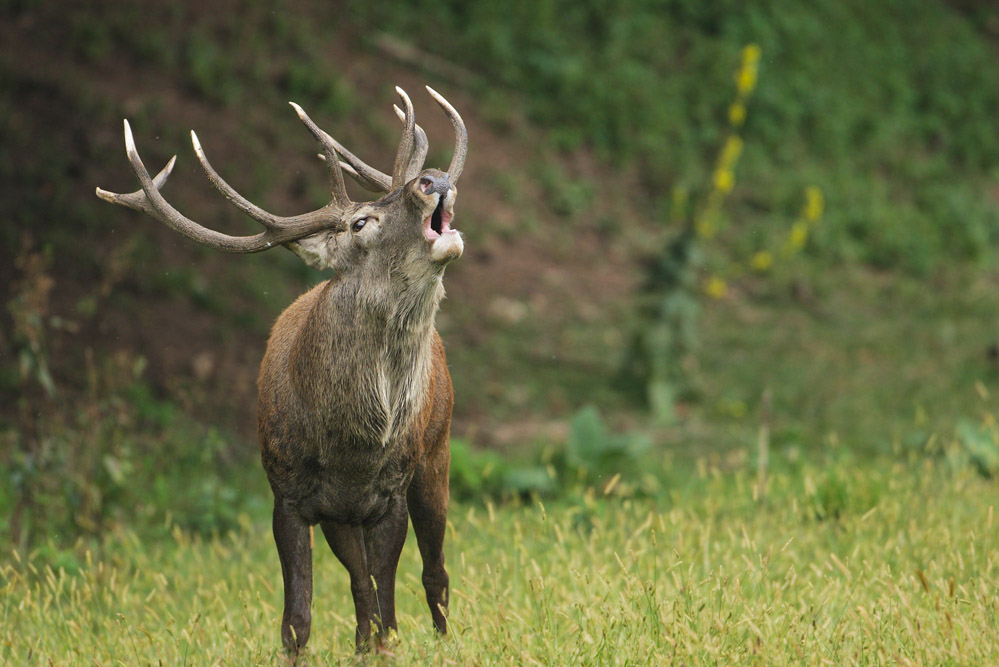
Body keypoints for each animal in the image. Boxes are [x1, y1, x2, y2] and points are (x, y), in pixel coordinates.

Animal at [96, 85, 467, 653]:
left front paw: (387, 650)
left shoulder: (390, 493)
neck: (351, 446)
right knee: (361, 584)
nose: (432, 179)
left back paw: (442, 640)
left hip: (436, 450)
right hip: (342, 515)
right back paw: (362, 644)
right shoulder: (288, 493)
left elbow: (390, 602)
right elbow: (299, 618)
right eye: (360, 222)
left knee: (433, 572)